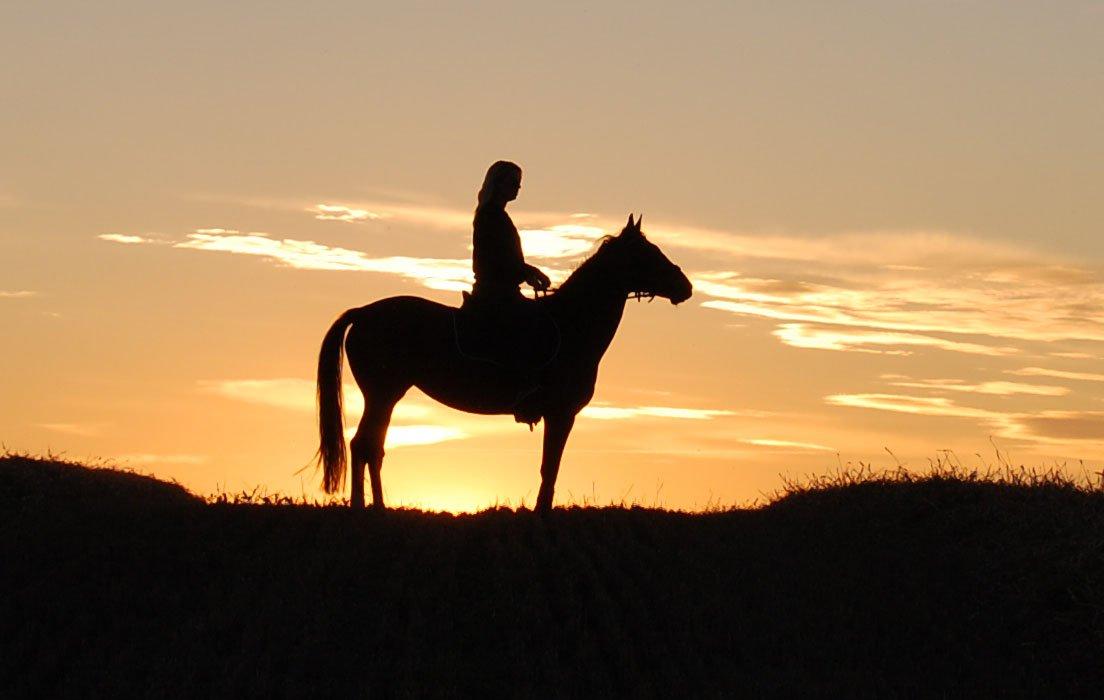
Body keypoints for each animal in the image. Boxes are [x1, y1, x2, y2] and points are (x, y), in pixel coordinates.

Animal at [313, 209, 688, 510]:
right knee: (364, 446)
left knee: (372, 447)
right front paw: (541, 515)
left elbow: (550, 468)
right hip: (383, 393)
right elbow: (550, 467)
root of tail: (363, 313)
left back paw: (377, 507)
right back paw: (365, 508)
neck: (572, 324)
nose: (685, 287)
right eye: (648, 253)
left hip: (386, 395)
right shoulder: (561, 413)